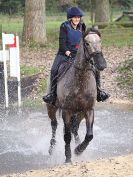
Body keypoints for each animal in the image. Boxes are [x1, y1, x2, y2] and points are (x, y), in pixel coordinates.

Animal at [46, 28, 103, 162]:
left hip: (79, 113)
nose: (101, 64)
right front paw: (68, 158)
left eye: (100, 42)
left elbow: (89, 135)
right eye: (87, 43)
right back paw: (51, 148)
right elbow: (66, 136)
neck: (80, 82)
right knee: (54, 125)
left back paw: (77, 144)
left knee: (74, 128)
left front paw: (78, 150)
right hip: (51, 107)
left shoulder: (88, 110)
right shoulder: (67, 111)